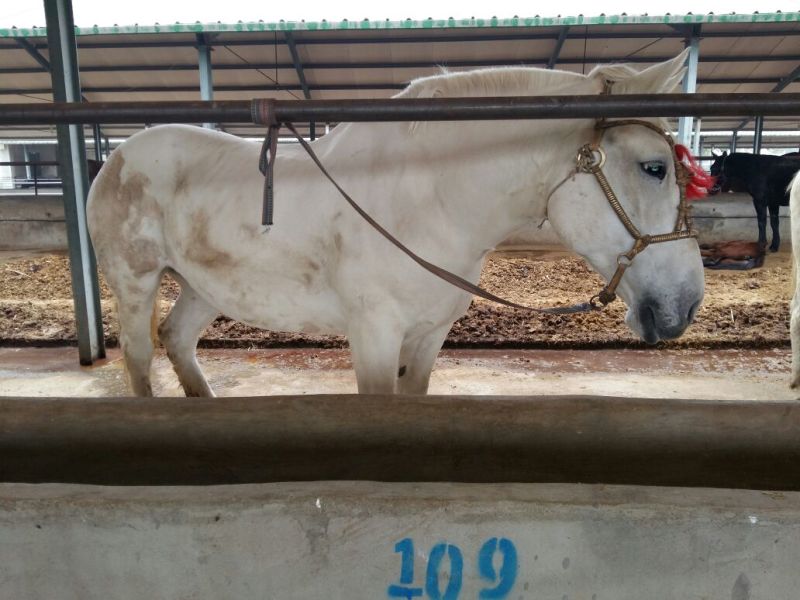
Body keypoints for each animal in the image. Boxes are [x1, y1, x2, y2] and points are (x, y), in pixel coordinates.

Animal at [87, 51, 705, 397]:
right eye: (654, 167)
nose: (687, 304)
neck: (429, 200)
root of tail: (117, 156)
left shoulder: (429, 337)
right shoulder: (375, 337)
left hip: (203, 286)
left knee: (178, 339)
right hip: (135, 282)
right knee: (139, 359)